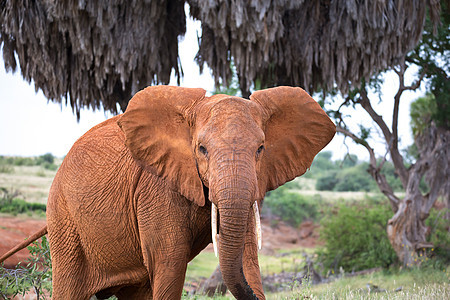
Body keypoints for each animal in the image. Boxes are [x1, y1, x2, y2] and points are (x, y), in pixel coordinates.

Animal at [0, 85, 334, 298]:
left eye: (261, 149)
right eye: (201, 149)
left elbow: (249, 257)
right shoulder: (156, 188)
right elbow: (170, 262)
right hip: (64, 220)